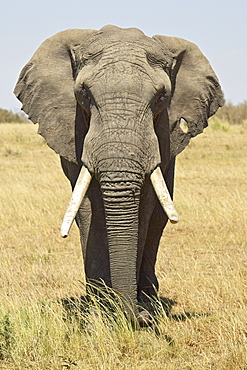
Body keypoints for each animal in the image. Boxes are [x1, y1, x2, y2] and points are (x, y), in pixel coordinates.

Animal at [14, 24, 224, 322]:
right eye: (84, 94)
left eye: (162, 97)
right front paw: (101, 311)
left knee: (158, 219)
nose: (139, 318)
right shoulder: (75, 131)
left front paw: (132, 309)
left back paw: (148, 299)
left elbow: (144, 207)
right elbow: (88, 206)